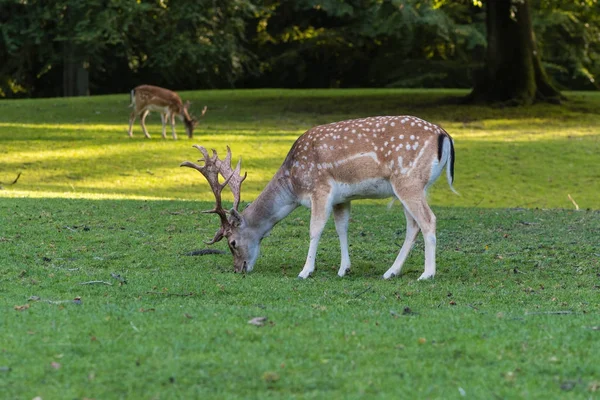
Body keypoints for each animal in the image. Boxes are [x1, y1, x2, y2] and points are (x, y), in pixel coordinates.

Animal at [180, 114, 458, 280]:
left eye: (232, 243)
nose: (239, 269)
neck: (293, 182)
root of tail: (444, 134)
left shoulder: (320, 188)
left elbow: (315, 229)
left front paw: (305, 271)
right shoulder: (342, 198)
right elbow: (341, 228)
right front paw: (344, 268)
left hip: (407, 180)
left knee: (428, 220)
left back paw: (427, 274)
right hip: (415, 186)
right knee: (413, 225)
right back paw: (391, 271)